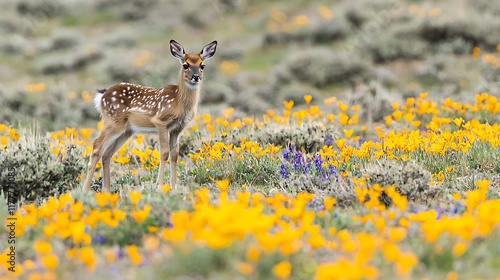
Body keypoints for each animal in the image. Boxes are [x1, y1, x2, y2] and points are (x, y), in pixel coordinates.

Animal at [83, 39, 218, 192]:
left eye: (202, 65)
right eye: (185, 65)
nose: (196, 77)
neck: (178, 101)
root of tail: (102, 96)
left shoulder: (177, 128)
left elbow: (174, 154)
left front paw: (174, 186)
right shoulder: (161, 121)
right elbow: (164, 152)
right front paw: (159, 186)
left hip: (126, 130)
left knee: (106, 154)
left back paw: (107, 190)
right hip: (113, 121)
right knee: (96, 147)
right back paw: (85, 191)